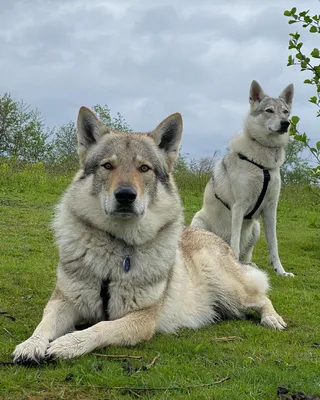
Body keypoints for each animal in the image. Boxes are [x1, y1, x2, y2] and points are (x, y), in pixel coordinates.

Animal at [13, 108, 286, 364]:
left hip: (231, 291)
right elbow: (45, 323)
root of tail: (215, 237)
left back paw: (273, 319)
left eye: (144, 168)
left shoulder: (142, 318)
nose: (125, 195)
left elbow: (101, 327)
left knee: (261, 298)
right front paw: (31, 344)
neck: (116, 248)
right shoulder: (64, 301)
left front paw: (68, 344)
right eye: (108, 166)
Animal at [191, 79, 294, 276]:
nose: (286, 123)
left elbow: (274, 245)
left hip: (256, 228)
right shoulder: (239, 206)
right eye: (269, 110)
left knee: (246, 255)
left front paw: (281, 271)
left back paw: (249, 264)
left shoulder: (271, 210)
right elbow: (235, 244)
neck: (263, 165)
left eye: (285, 111)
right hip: (200, 223)